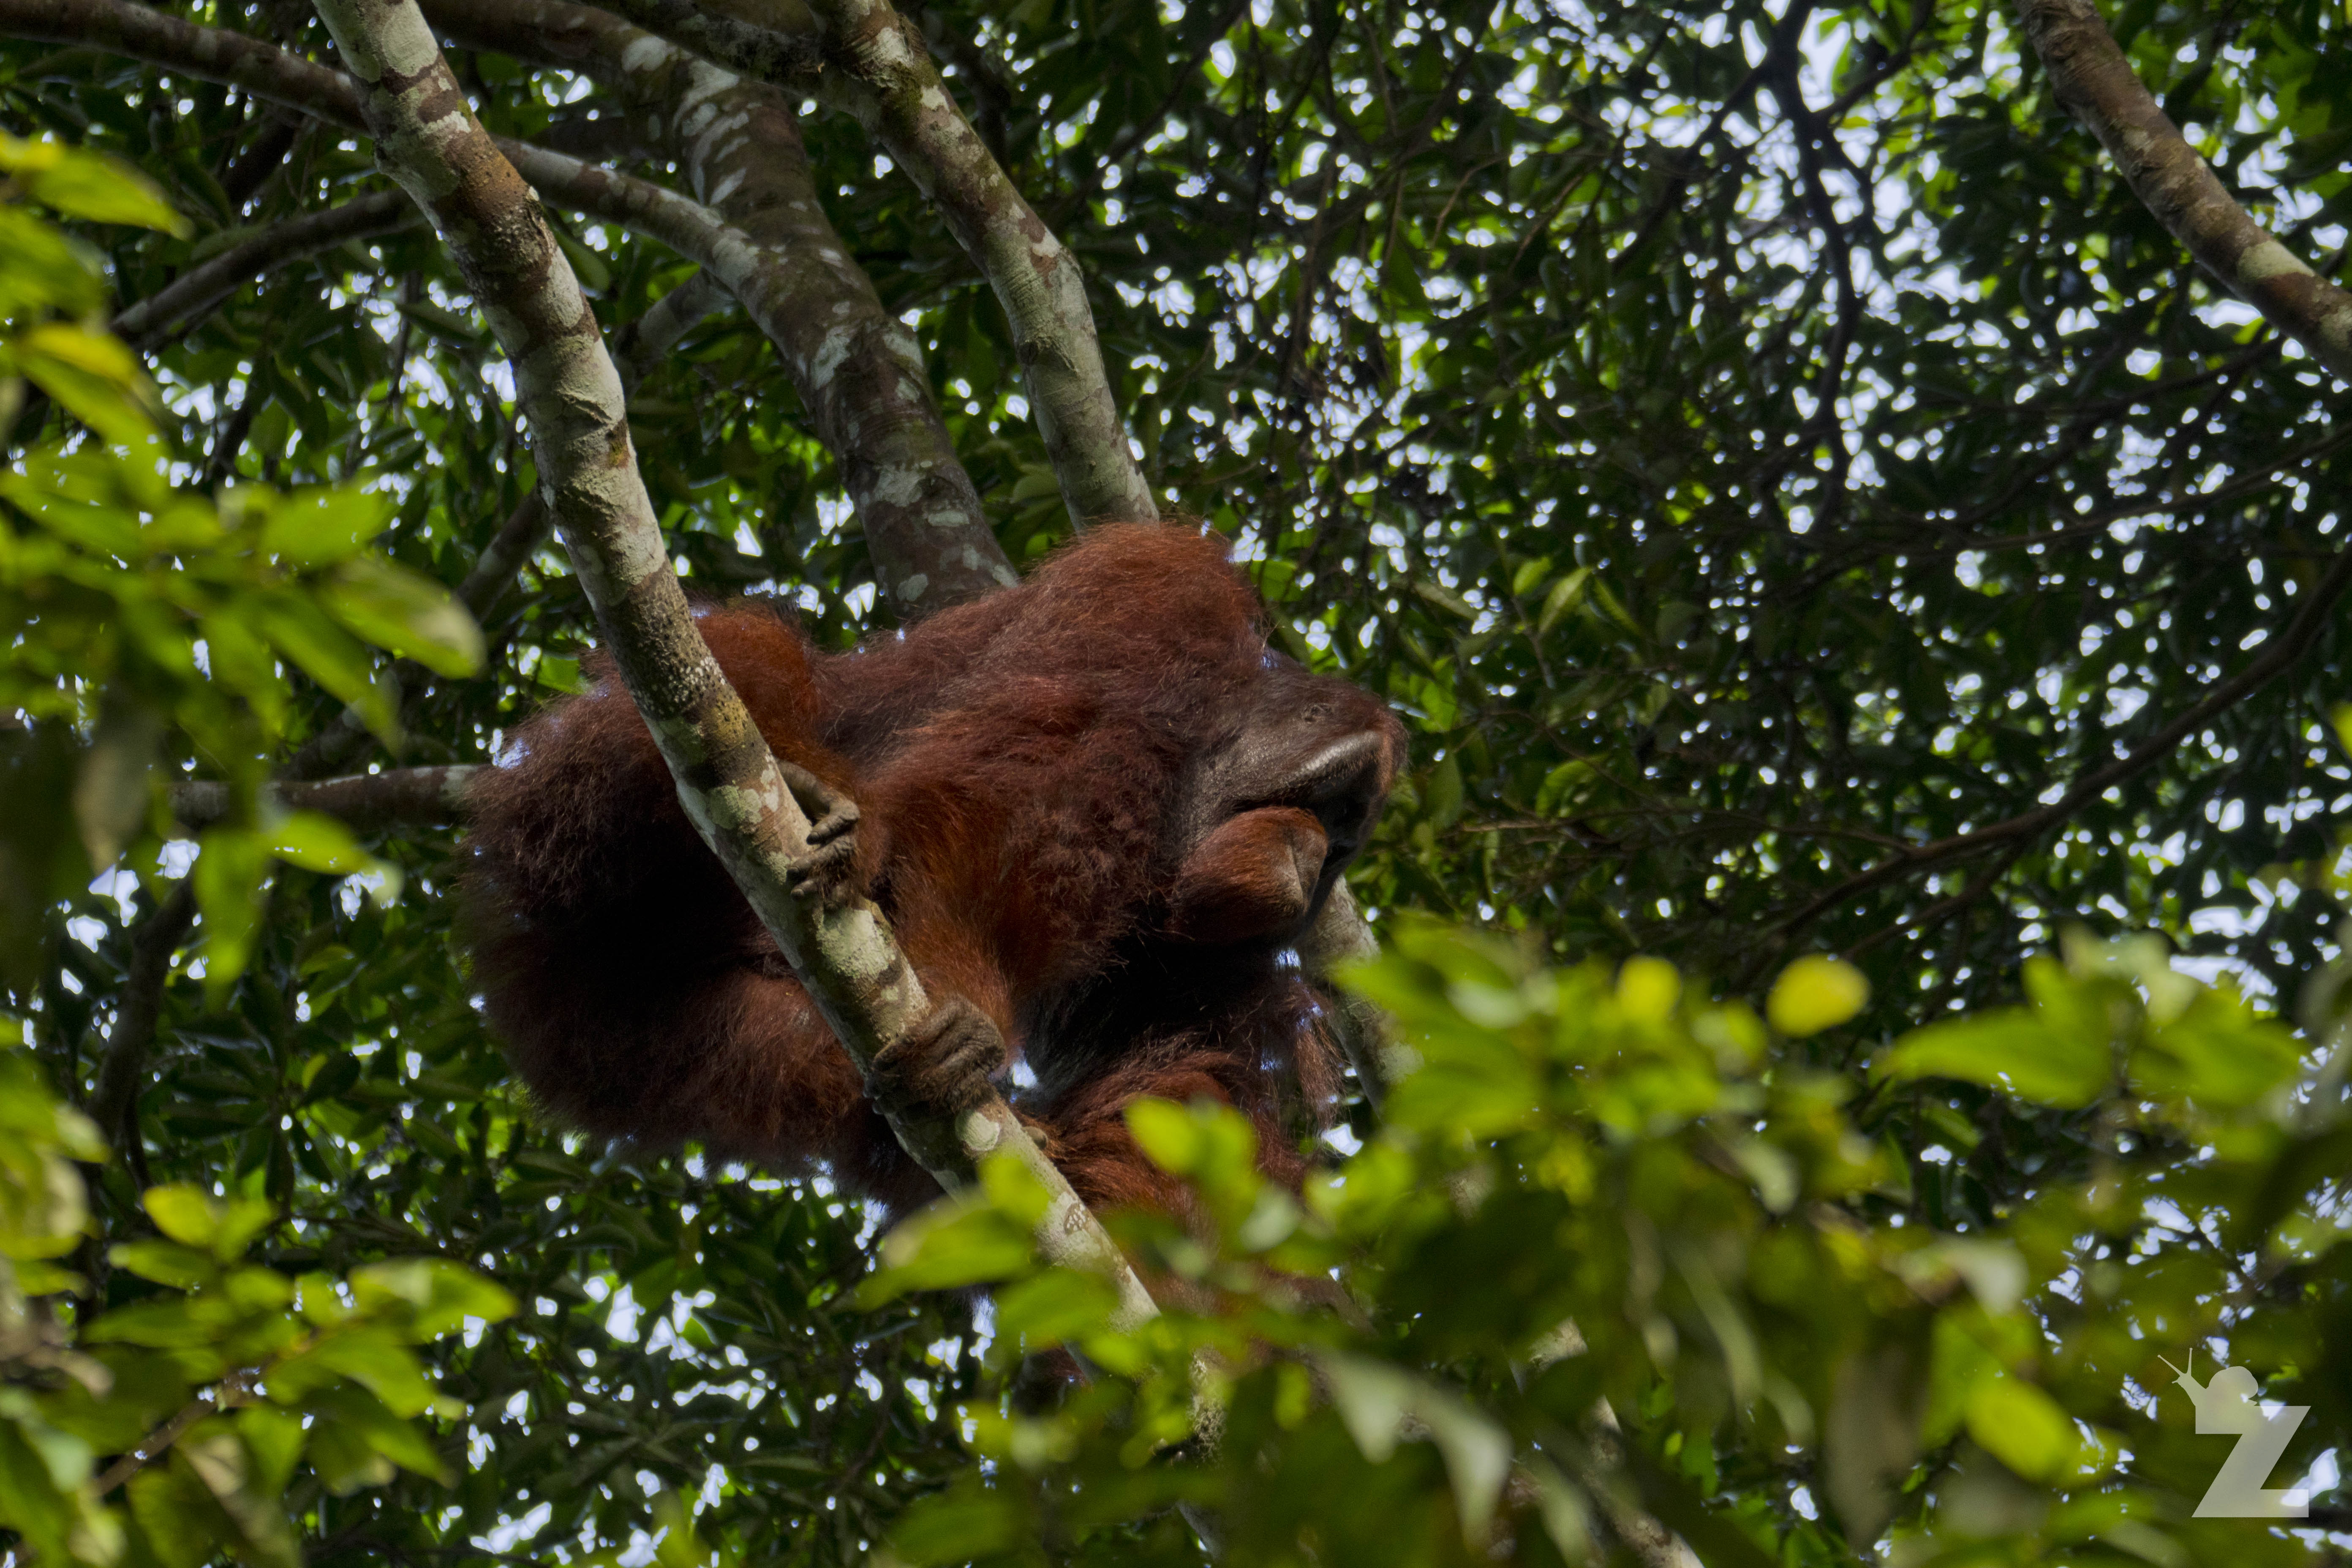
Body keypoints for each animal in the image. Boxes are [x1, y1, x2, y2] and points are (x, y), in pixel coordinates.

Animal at [458, 523, 1405, 1222]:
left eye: (1344, 841)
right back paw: (810, 789)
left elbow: (1176, 1080)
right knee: (751, 662)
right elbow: (997, 817)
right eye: (1329, 808)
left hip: (623, 1029)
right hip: (573, 818)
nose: (1316, 855)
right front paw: (966, 1010)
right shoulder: (1157, 598)